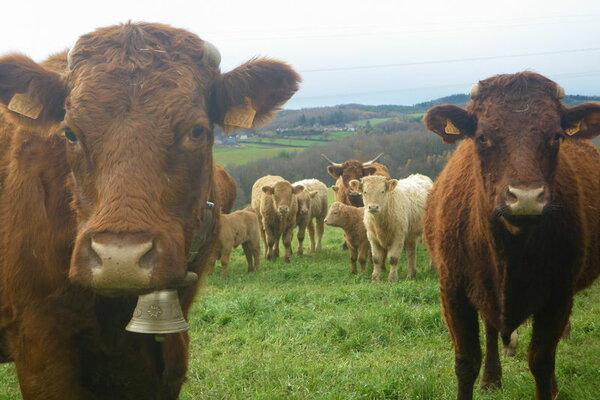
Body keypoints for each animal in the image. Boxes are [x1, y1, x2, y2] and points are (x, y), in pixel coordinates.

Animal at [422, 72, 600, 400]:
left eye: (556, 136)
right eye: (483, 136)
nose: (526, 198)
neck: (508, 248)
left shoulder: (558, 295)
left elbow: (542, 361)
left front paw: (548, 387)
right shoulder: (452, 290)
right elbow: (466, 361)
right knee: (491, 330)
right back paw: (491, 378)